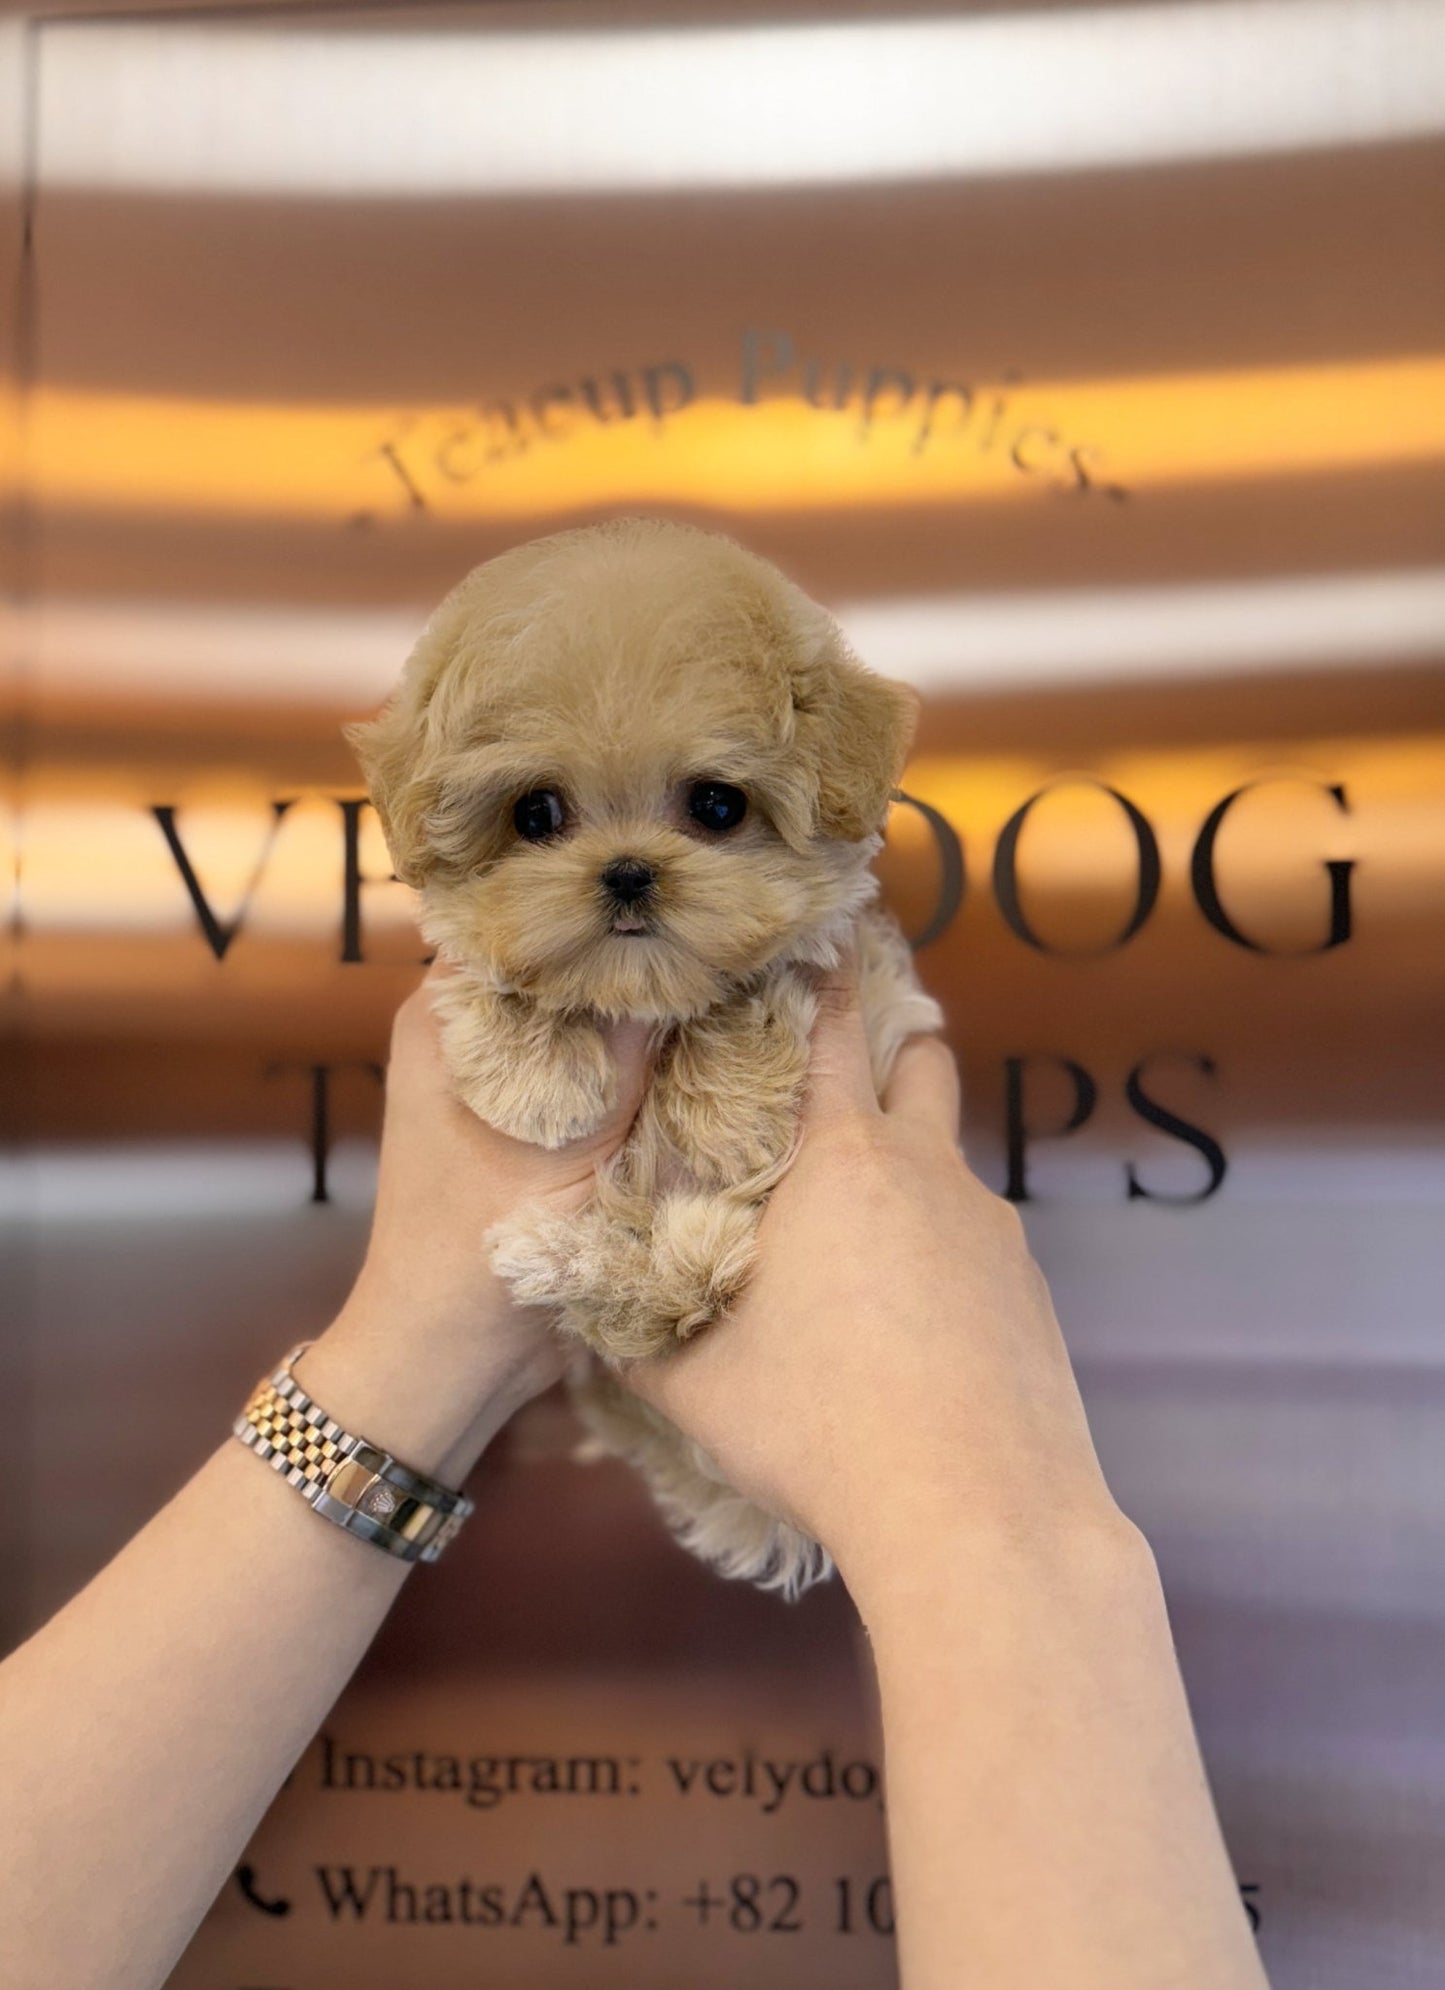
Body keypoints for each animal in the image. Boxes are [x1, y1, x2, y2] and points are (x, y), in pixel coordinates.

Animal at [344, 517, 943, 1599]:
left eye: (717, 805)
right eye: (535, 814)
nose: (626, 872)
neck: (639, 996)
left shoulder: (860, 984)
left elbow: (751, 983)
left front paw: (726, 1116)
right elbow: (493, 976)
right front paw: (535, 1075)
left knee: (673, 1298)